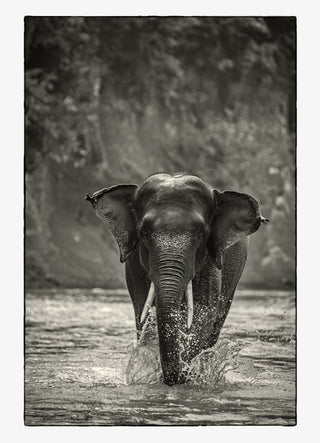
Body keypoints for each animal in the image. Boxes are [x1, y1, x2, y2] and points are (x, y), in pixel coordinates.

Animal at [85, 173, 268, 386]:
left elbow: (204, 313)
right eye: (144, 232)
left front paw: (186, 371)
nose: (171, 379)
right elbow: (143, 311)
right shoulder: (134, 265)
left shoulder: (211, 260)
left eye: (201, 233)